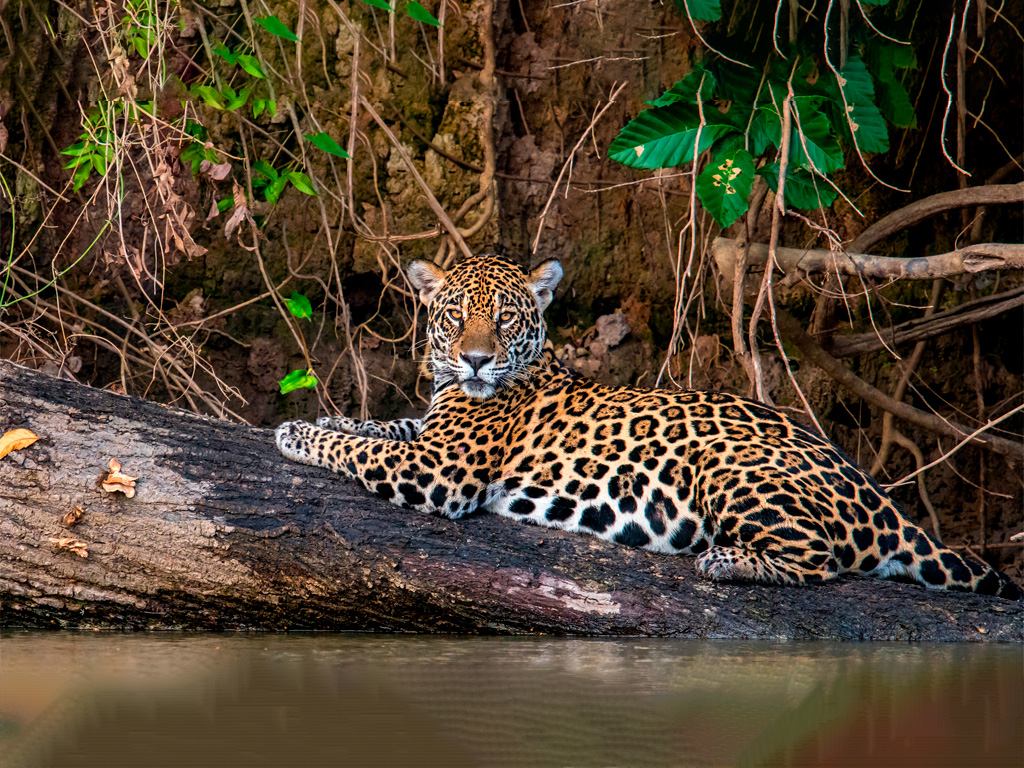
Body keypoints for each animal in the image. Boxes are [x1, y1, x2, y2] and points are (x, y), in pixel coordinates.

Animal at [276, 254, 1023, 601]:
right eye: (456, 316)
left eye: (506, 318)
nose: (478, 359)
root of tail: (871, 489)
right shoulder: (429, 437)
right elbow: (379, 423)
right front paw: (318, 416)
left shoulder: (442, 470)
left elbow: (356, 448)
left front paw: (296, 435)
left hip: (730, 466)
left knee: (824, 561)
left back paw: (727, 560)